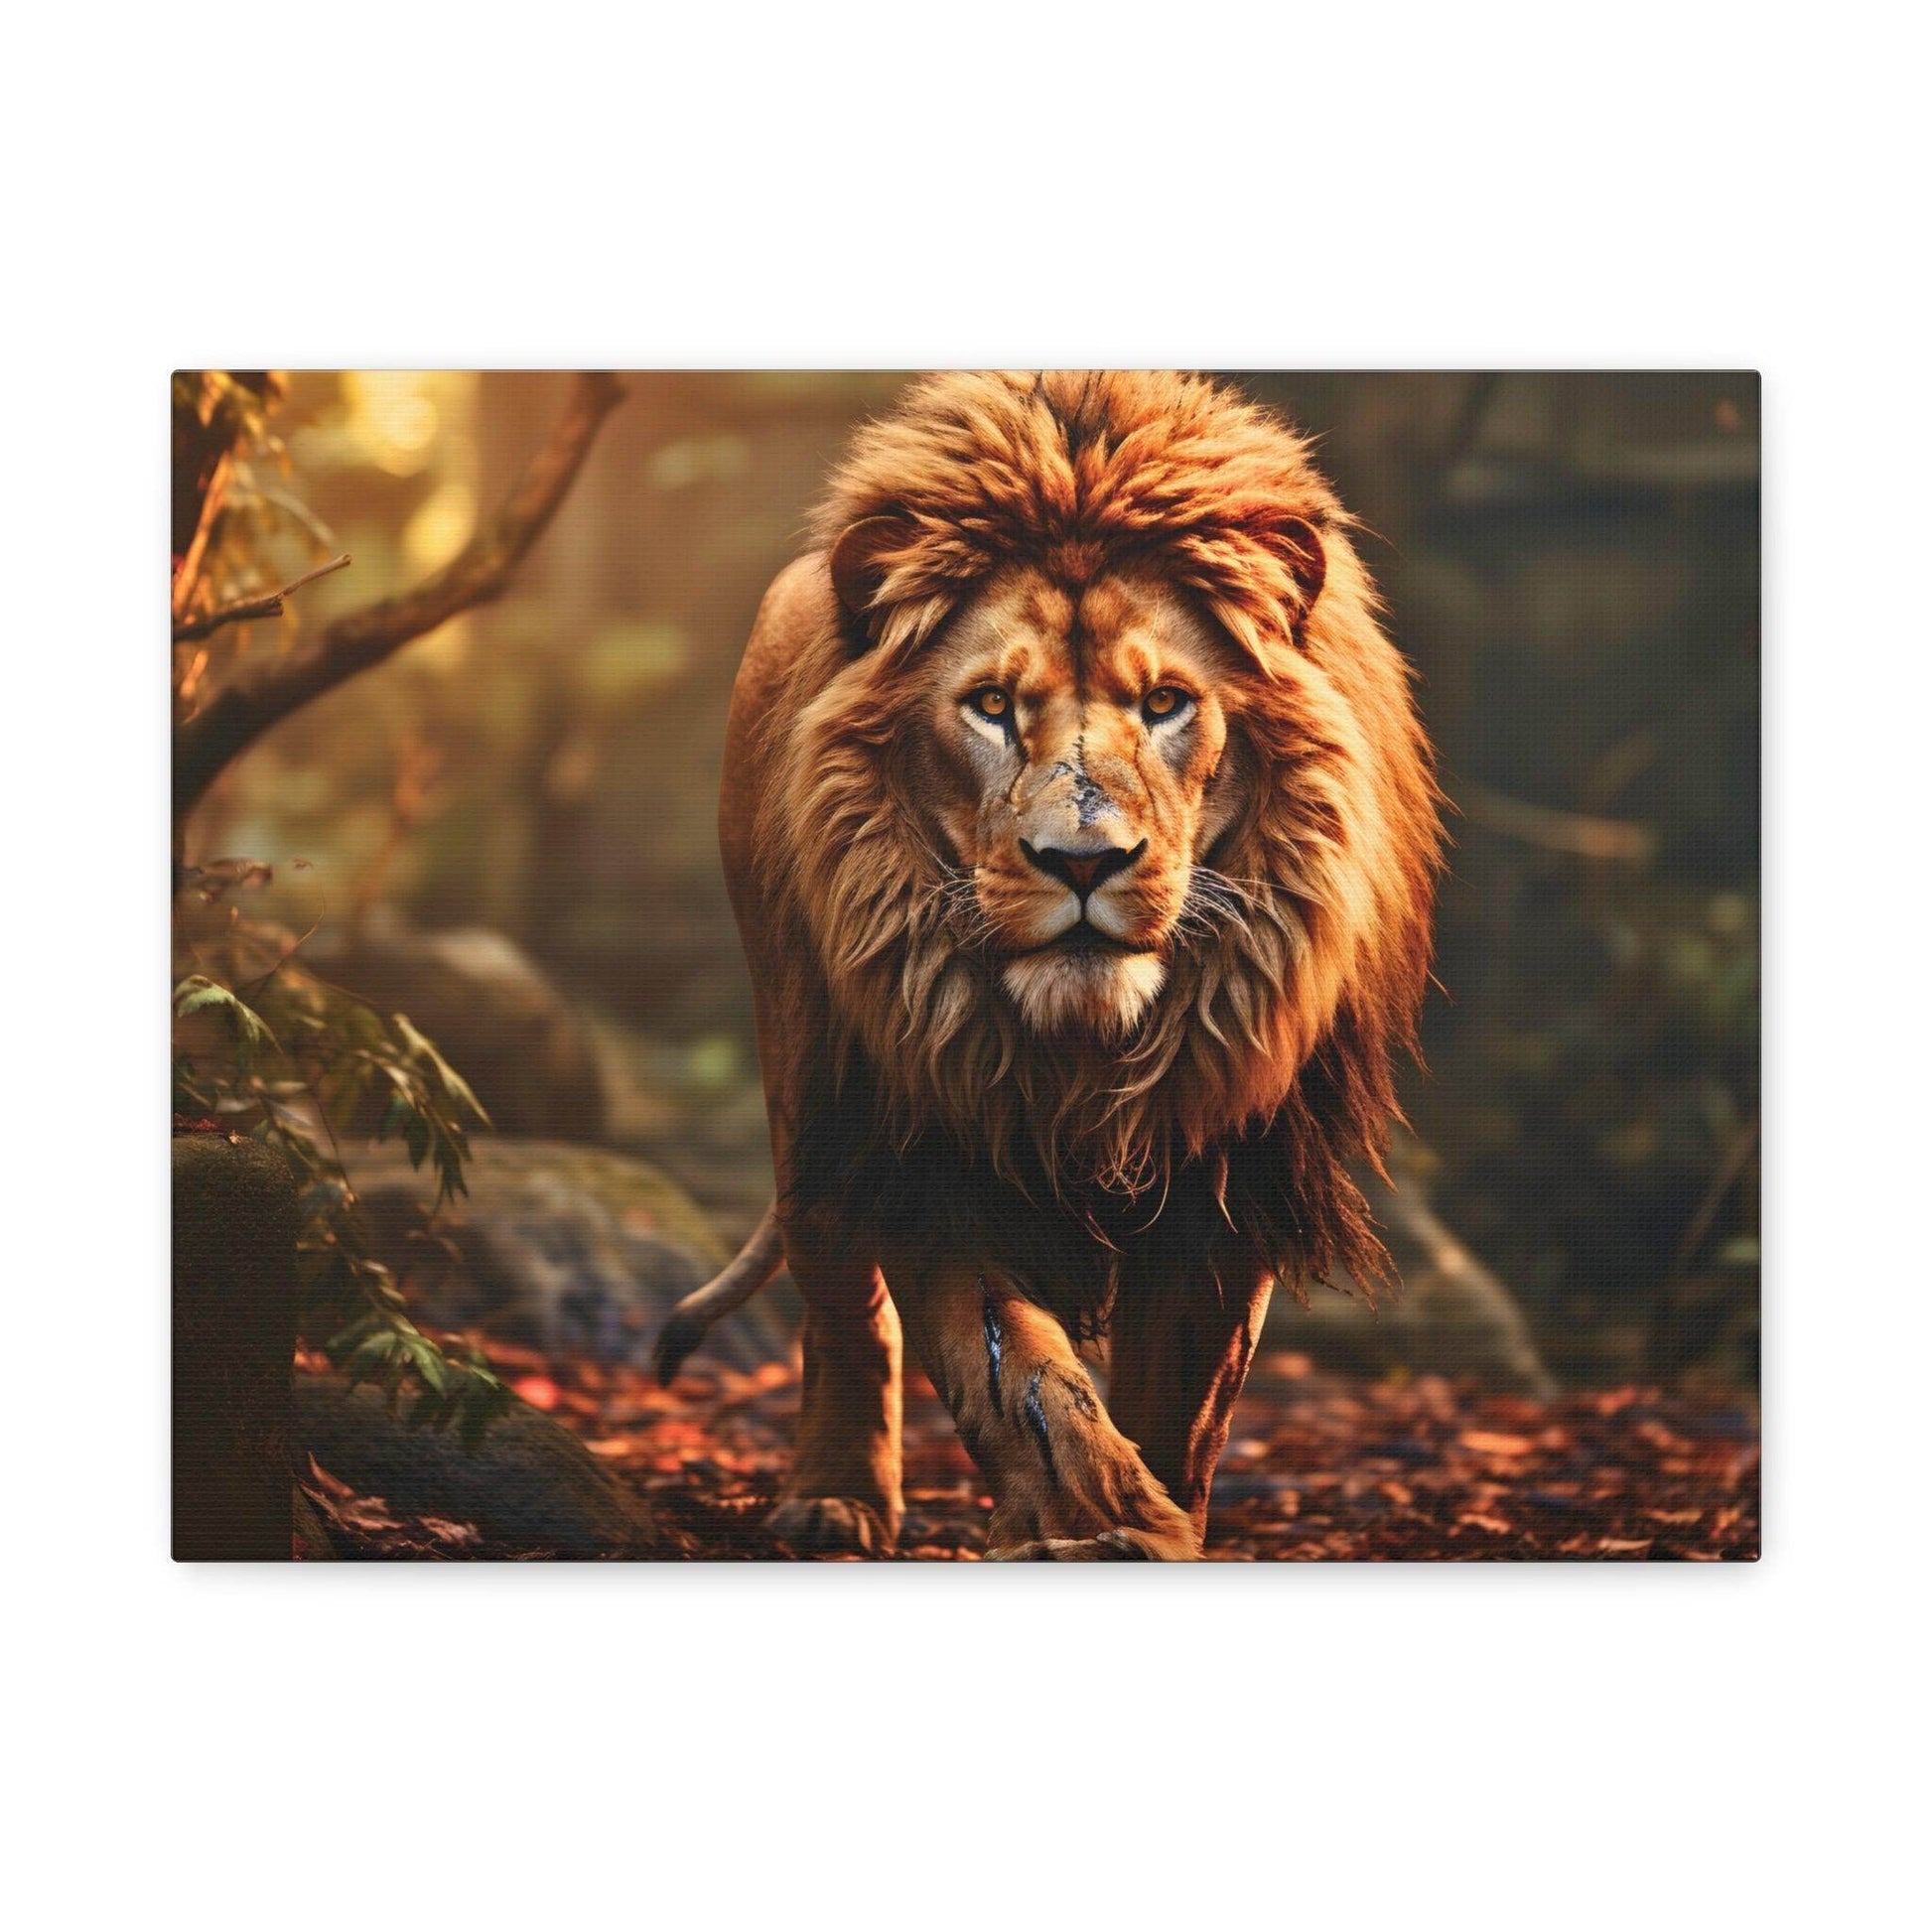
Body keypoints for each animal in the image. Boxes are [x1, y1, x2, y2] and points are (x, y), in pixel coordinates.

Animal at [657, 371, 1443, 1559]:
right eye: (991, 705)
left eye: (1164, 703)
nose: (1083, 860)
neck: (1087, 1051)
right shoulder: (928, 1130)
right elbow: (1015, 1375)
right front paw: (1089, 1519)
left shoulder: (1229, 1164)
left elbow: (1181, 1405)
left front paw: (1154, 1525)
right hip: (806, 1072)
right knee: (839, 1294)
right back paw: (833, 1498)